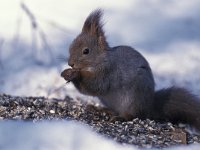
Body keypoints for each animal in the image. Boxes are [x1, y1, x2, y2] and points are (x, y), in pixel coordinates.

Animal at [60, 9, 200, 130]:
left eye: (86, 51)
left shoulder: (108, 72)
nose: (70, 63)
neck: (100, 60)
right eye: (71, 46)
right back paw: (101, 109)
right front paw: (66, 72)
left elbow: (96, 86)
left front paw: (75, 75)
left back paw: (119, 117)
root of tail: (149, 106)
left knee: (132, 115)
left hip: (133, 99)